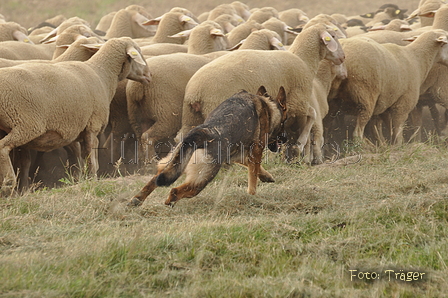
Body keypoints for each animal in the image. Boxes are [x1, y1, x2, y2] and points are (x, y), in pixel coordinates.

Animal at [0, 36, 150, 196]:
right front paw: (93, 181)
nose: (149, 75)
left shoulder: (81, 132)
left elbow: (84, 158)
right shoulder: (93, 127)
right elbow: (92, 161)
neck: (102, 74)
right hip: (26, 124)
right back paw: (8, 183)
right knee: (3, 147)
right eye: (138, 53)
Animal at [127, 86, 288, 207]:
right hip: (201, 180)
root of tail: (202, 133)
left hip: (171, 165)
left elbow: (250, 165)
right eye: (284, 121)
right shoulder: (256, 149)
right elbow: (253, 175)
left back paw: (137, 199)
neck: (268, 105)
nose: (286, 139)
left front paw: (266, 176)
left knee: (155, 180)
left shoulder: (235, 154)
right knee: (175, 191)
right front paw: (252, 196)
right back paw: (169, 201)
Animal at [177, 22, 344, 163]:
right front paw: (299, 145)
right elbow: (312, 114)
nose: (343, 57)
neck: (303, 60)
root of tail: (195, 92)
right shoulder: (296, 101)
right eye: (333, 36)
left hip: (191, 118)